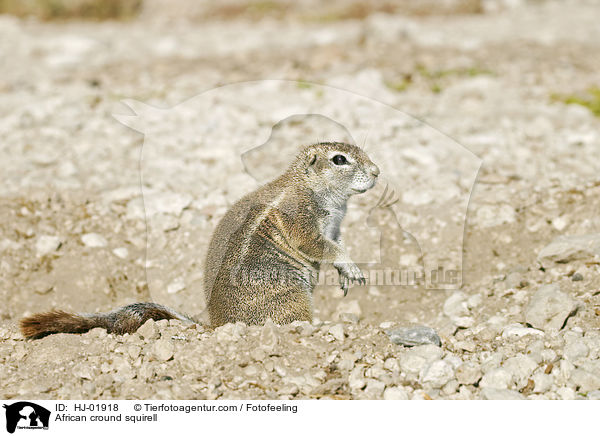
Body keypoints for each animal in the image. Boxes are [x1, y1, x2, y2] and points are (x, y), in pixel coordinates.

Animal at [23, 141, 382, 338]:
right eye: (339, 159)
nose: (377, 172)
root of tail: (218, 326)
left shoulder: (335, 226)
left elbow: (333, 243)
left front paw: (344, 272)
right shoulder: (300, 219)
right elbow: (317, 244)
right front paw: (350, 266)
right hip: (289, 297)